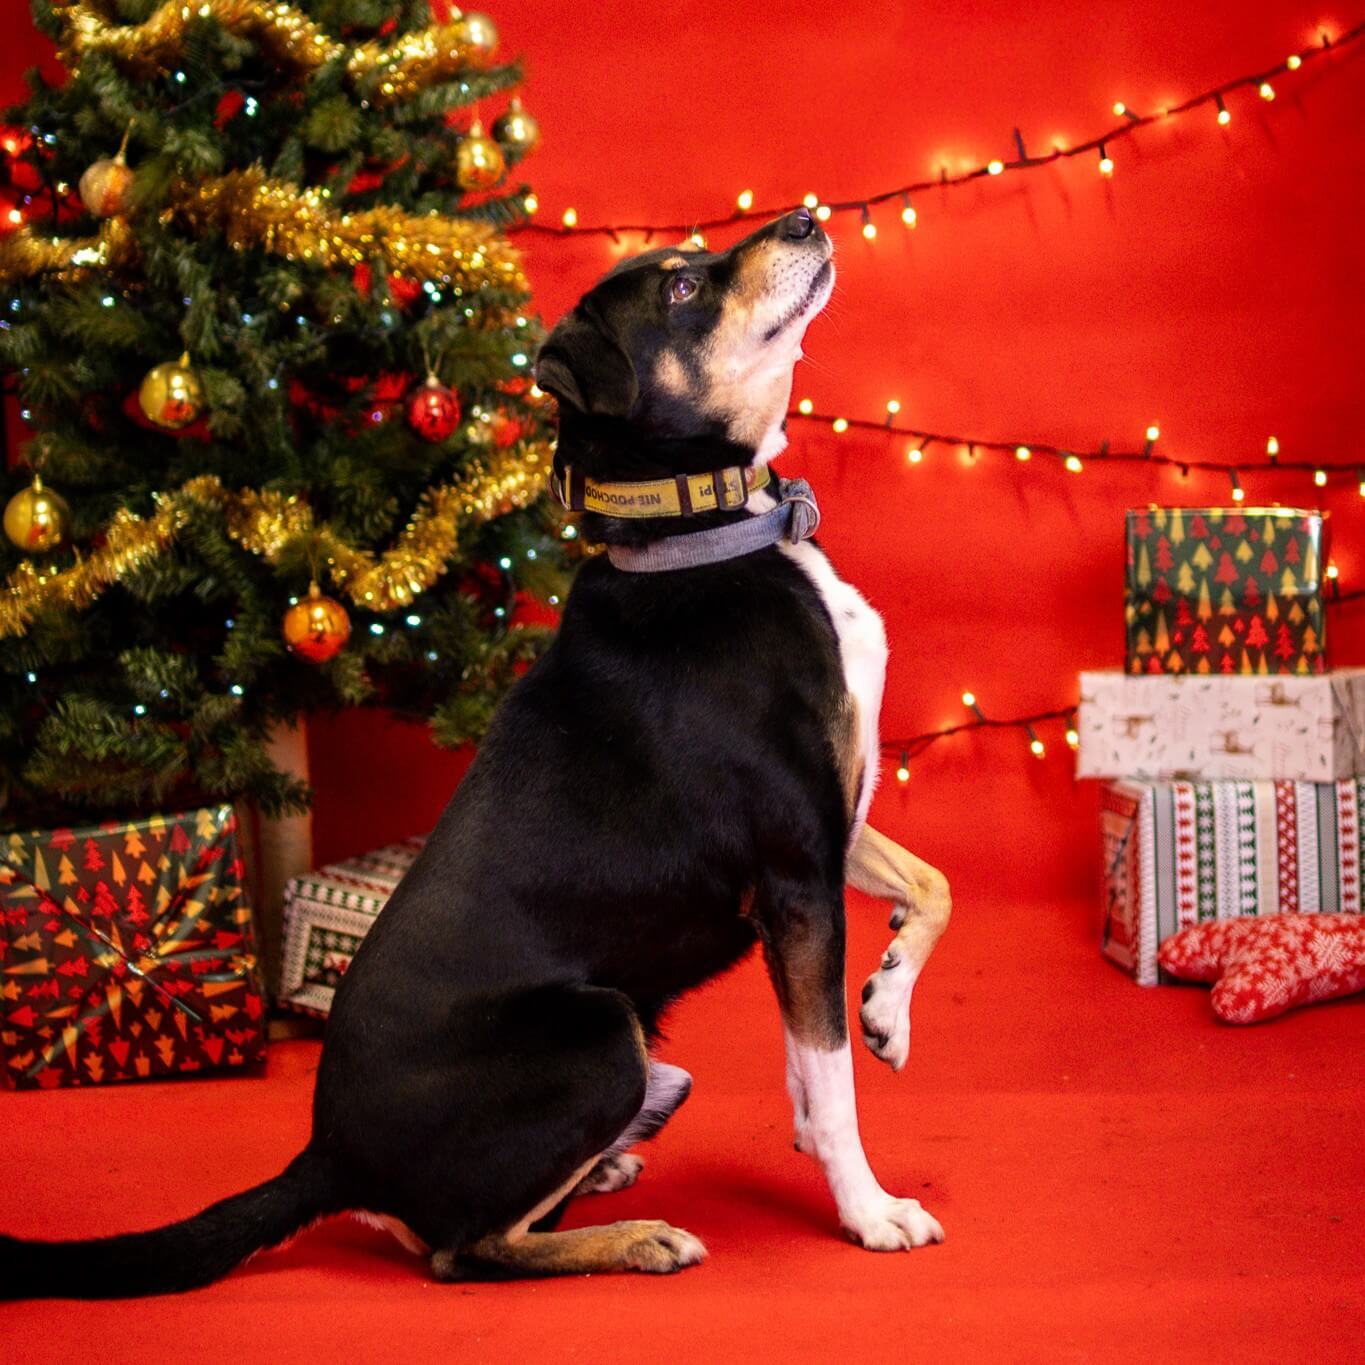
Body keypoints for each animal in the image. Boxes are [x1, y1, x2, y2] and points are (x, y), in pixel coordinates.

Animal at [0, 207, 951, 1297]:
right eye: (680, 289)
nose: (804, 216)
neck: (706, 531)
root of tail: (328, 1152)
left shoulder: (834, 824)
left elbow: (928, 895)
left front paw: (885, 1006)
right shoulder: (794, 867)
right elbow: (831, 1077)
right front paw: (867, 1207)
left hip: (644, 1055)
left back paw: (614, 1170)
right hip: (601, 1036)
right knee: (463, 1249)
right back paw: (637, 1237)